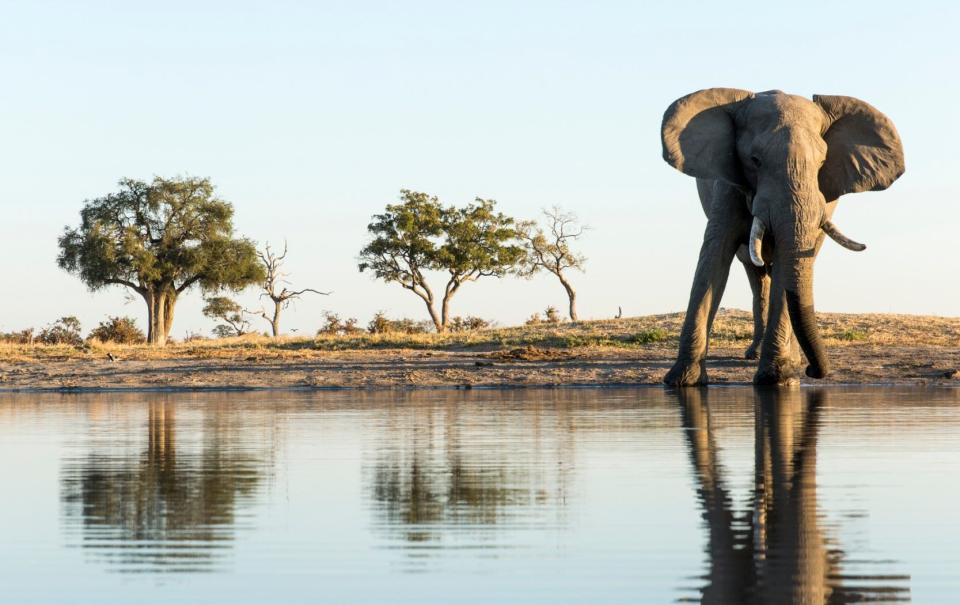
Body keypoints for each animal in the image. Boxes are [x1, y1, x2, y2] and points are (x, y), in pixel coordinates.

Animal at [656, 87, 904, 384]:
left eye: (822, 163)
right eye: (755, 161)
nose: (814, 371)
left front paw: (778, 378)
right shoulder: (726, 187)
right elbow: (713, 257)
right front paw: (683, 381)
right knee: (757, 273)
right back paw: (757, 354)